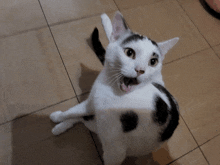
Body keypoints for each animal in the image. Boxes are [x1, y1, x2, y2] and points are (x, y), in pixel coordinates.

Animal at [50, 11, 180, 165]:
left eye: (153, 61)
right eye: (129, 52)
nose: (140, 70)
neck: (113, 93)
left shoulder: (115, 151)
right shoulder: (92, 101)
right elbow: (71, 111)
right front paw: (59, 116)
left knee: (85, 120)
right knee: (82, 117)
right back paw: (60, 126)